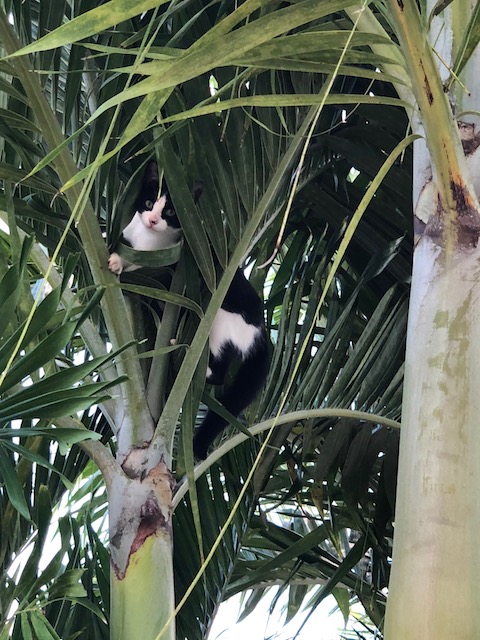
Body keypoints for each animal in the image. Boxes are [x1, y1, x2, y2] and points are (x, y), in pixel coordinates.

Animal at [107, 161, 270, 460]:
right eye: (149, 203)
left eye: (171, 212)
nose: (153, 220)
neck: (147, 240)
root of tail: (262, 333)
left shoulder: (172, 265)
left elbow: (144, 270)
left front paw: (118, 263)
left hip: (219, 316)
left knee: (218, 369)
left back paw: (182, 352)